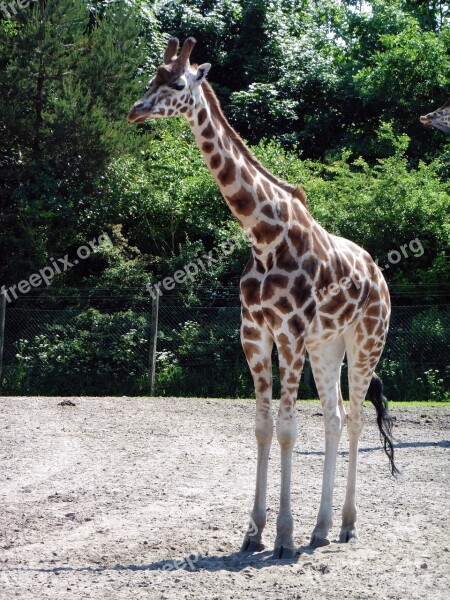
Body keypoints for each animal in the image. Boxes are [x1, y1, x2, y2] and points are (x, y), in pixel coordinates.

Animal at [127, 35, 398, 556]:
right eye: (151, 78)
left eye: (176, 83)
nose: (136, 110)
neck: (262, 236)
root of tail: (379, 275)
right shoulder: (254, 332)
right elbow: (262, 427)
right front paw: (254, 531)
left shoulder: (289, 333)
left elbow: (289, 430)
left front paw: (284, 535)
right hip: (327, 345)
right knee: (334, 418)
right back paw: (322, 527)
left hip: (366, 340)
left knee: (355, 418)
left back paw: (346, 525)